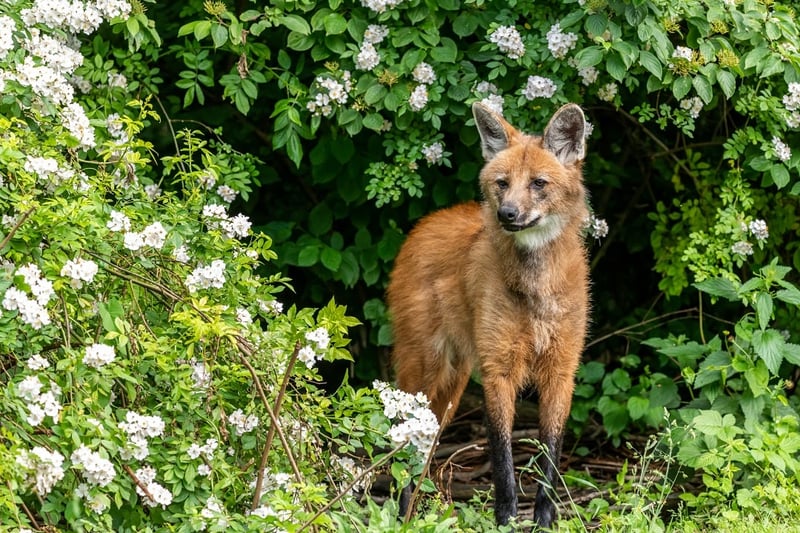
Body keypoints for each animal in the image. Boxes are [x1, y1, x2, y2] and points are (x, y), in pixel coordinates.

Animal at [388, 102, 588, 524]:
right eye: (502, 183)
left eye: (538, 183)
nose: (507, 214)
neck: (536, 289)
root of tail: (424, 223)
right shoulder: (499, 369)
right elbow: (502, 455)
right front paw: (507, 518)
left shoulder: (560, 370)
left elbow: (550, 453)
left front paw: (544, 520)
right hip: (425, 370)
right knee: (399, 439)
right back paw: (402, 514)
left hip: (451, 386)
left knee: (422, 447)